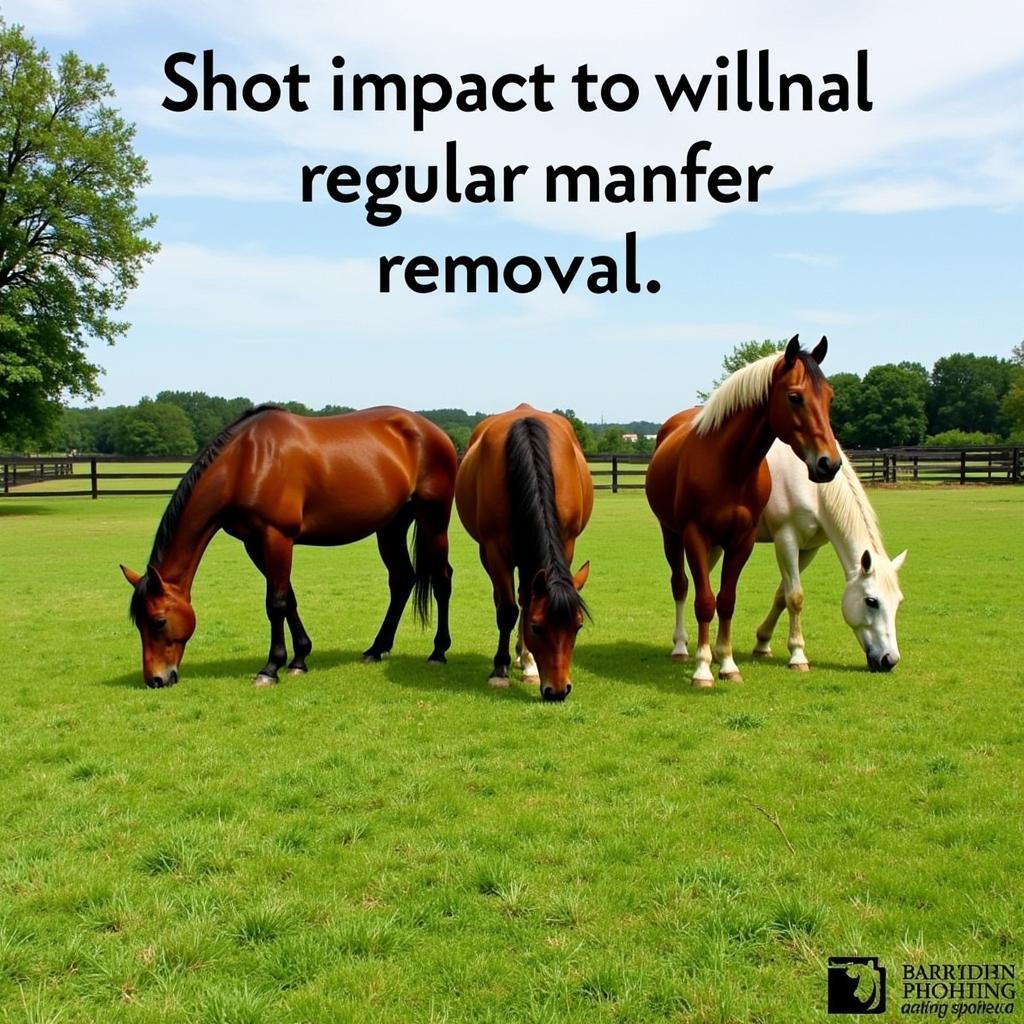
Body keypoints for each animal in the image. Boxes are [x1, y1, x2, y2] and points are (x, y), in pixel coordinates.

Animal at [119, 405, 456, 688]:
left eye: (159, 621)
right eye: (138, 624)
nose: (156, 679)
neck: (246, 461)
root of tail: (432, 430)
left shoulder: (277, 537)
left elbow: (276, 603)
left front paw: (271, 668)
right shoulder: (255, 544)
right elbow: (288, 598)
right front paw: (299, 659)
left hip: (434, 520)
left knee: (442, 579)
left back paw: (438, 652)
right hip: (391, 526)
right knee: (402, 580)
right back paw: (377, 648)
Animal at [456, 403, 593, 700]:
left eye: (577, 626)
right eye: (536, 626)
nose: (558, 691)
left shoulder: (567, 542)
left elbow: (525, 600)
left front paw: (529, 665)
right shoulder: (494, 550)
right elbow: (507, 610)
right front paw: (500, 669)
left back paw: (525, 660)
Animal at [647, 335, 839, 688]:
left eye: (829, 397)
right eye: (795, 397)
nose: (828, 464)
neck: (729, 466)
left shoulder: (742, 541)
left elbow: (725, 600)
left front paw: (726, 663)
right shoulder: (695, 534)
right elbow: (705, 601)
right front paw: (702, 670)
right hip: (672, 534)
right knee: (681, 585)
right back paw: (681, 648)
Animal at [749, 438, 909, 671]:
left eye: (898, 601)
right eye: (871, 601)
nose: (889, 660)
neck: (814, 489)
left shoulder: (808, 549)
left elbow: (781, 596)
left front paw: (762, 644)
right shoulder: (786, 540)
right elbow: (794, 597)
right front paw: (797, 654)